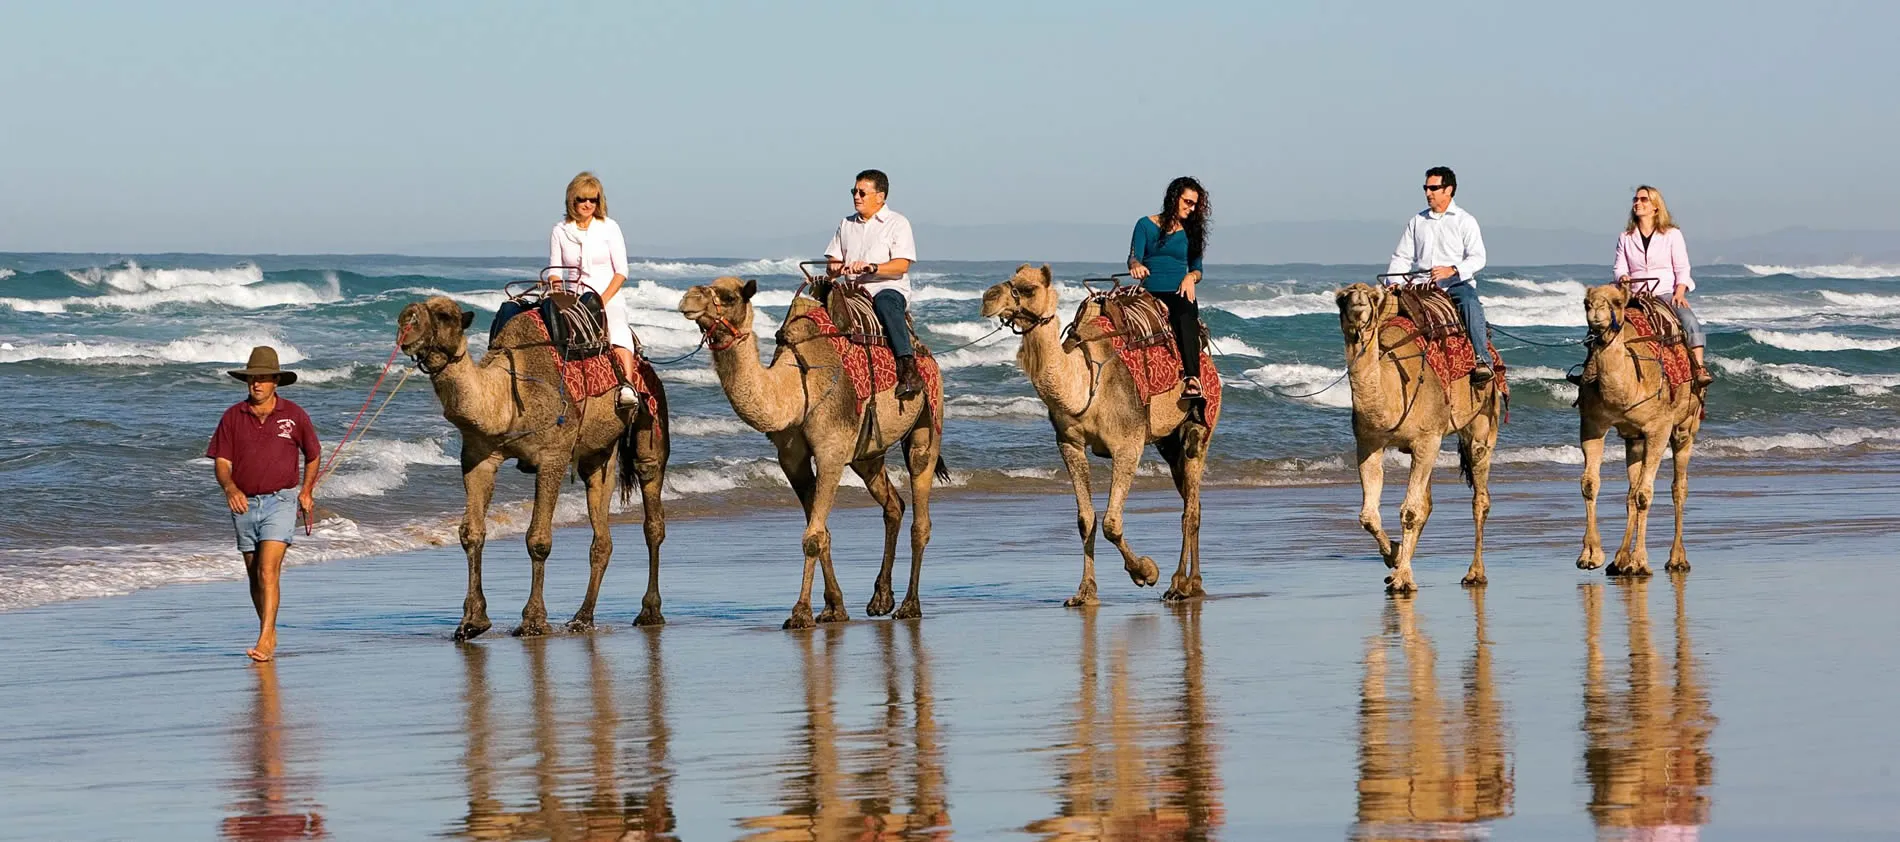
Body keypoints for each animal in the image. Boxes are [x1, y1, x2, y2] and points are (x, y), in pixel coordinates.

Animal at [398, 296, 669, 640]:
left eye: (445, 315)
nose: (406, 322)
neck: (506, 398)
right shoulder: (478, 456)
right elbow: (471, 533)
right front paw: (472, 621)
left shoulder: (553, 455)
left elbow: (538, 540)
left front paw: (533, 621)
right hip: (598, 454)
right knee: (601, 530)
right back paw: (583, 618)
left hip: (651, 419)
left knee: (652, 512)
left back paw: (649, 612)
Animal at [677, 277, 946, 629]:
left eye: (729, 296)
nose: (688, 299)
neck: (796, 388)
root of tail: (927, 354)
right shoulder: (792, 459)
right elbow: (823, 534)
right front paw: (834, 608)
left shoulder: (831, 451)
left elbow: (813, 537)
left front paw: (801, 612)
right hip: (867, 454)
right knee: (893, 505)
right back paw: (880, 599)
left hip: (929, 421)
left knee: (921, 512)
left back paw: (910, 605)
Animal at [979, 265, 1213, 606]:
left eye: (1029, 288)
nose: (988, 298)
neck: (1086, 383)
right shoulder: (1069, 443)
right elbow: (1085, 519)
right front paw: (1084, 592)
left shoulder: (1128, 444)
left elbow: (1111, 523)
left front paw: (1146, 572)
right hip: (1167, 442)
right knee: (1189, 498)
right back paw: (1189, 583)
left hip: (1200, 427)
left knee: (1191, 509)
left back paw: (1181, 585)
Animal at [1334, 283, 1502, 593]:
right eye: (1342, 298)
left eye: (1372, 297)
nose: (1358, 303)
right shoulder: (1368, 443)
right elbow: (1369, 515)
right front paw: (1395, 558)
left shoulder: (1428, 439)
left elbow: (1410, 511)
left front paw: (1402, 577)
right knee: (1428, 502)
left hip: (1484, 417)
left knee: (1480, 496)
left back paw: (1475, 573)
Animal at [1576, 284, 1705, 576]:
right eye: (1586, 302)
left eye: (1617, 302)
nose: (1596, 313)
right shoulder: (1592, 424)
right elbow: (1590, 484)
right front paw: (1591, 555)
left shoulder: (1659, 428)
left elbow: (1645, 495)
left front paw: (1640, 561)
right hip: (1634, 439)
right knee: (1631, 491)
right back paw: (1619, 560)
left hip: (1686, 427)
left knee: (1678, 487)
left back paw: (1676, 559)